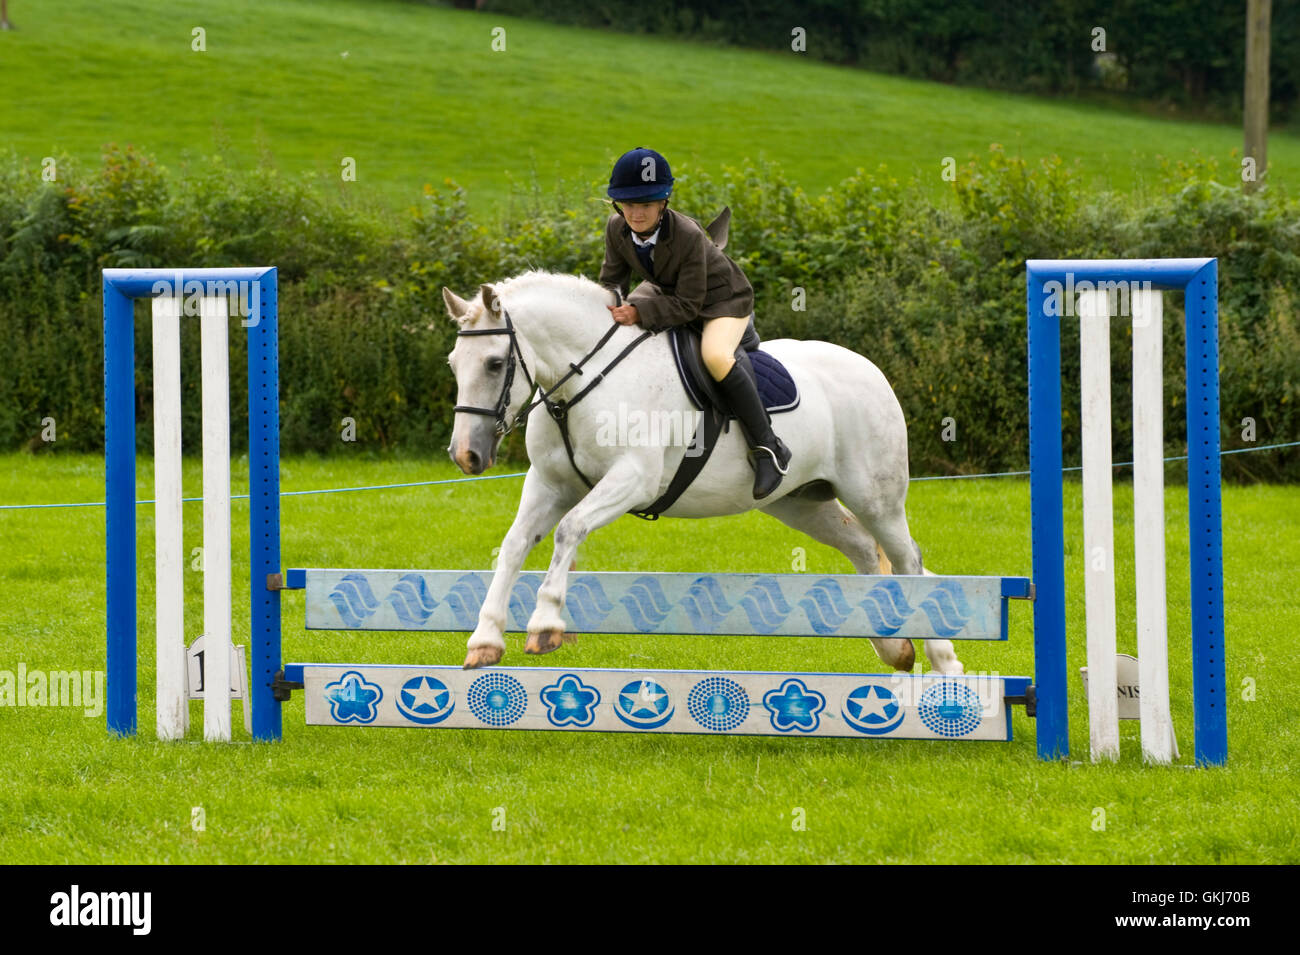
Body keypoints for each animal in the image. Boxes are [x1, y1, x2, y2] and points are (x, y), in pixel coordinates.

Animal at [441, 272, 961, 675]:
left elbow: (569, 530)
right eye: (454, 364)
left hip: (875, 496)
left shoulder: (632, 480)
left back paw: (942, 660)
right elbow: (513, 544)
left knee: (908, 560)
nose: (466, 455)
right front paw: (484, 640)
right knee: (863, 549)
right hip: (800, 502)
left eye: (494, 363)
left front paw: (546, 626)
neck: (585, 380)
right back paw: (893, 646)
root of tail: (869, 368)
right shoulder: (549, 485)